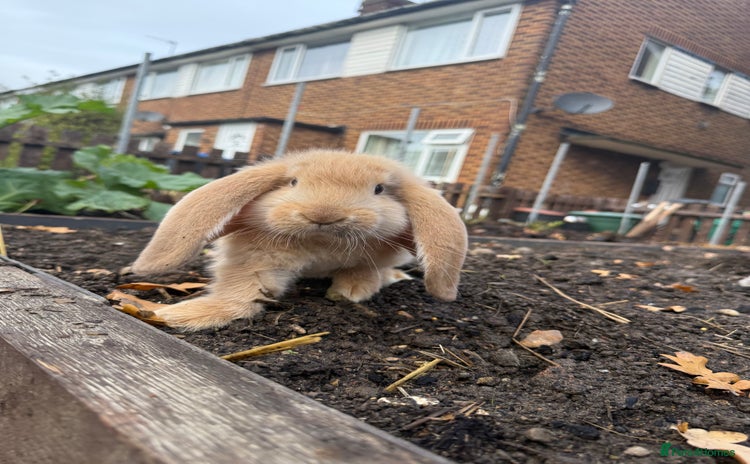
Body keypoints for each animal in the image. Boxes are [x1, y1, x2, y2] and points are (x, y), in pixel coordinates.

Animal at [131, 149, 468, 330]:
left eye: (379, 189)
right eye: (293, 182)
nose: (324, 213)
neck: (323, 244)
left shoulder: (371, 259)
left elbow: (362, 272)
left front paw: (350, 292)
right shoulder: (256, 263)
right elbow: (241, 296)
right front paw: (178, 315)